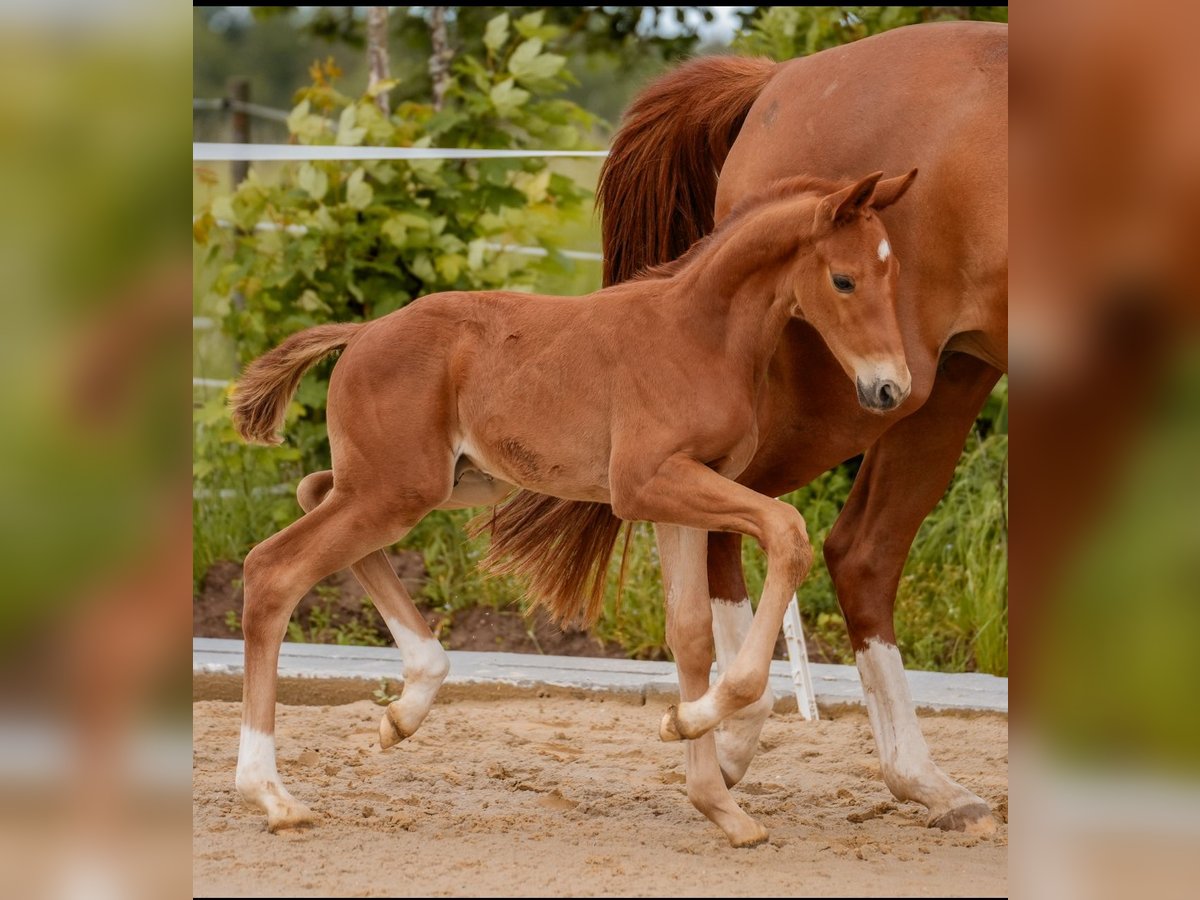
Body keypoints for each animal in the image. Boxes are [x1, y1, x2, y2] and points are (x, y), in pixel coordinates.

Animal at [229, 168, 912, 844]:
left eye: (894, 274)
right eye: (843, 279)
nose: (891, 389)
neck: (701, 336)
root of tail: (363, 333)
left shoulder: (683, 493)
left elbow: (690, 633)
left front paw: (713, 791)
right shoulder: (646, 483)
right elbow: (787, 531)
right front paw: (692, 723)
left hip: (437, 483)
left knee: (313, 490)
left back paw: (407, 705)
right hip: (397, 489)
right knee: (273, 568)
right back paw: (271, 794)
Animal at [482, 24, 1008, 849]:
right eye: (845, 280)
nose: (885, 381)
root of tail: (776, 78)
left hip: (941, 380)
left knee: (851, 552)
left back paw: (912, 780)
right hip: (855, 395)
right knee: (767, 529)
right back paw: (724, 731)